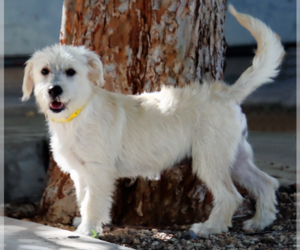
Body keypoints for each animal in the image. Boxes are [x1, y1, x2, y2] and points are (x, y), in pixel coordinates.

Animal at [21, 5, 284, 236]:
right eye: (44, 71)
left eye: (71, 72)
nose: (54, 90)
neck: (78, 113)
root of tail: (227, 93)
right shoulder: (81, 172)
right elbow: (84, 198)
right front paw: (85, 222)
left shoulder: (98, 170)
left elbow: (92, 201)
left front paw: (87, 230)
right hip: (236, 157)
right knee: (267, 183)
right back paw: (260, 222)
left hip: (210, 160)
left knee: (231, 195)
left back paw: (210, 228)